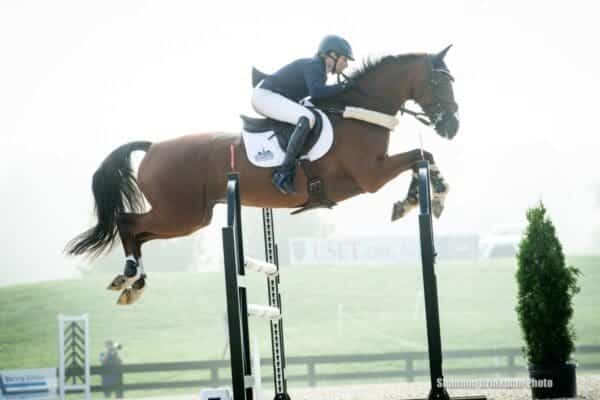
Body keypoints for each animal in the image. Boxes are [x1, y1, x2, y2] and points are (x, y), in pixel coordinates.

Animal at [65, 45, 460, 304]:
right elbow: (419, 156)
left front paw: (424, 197)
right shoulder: (371, 177)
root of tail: (153, 147)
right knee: (127, 222)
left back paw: (134, 282)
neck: (358, 111)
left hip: (187, 217)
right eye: (438, 84)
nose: (452, 127)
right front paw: (417, 200)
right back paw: (129, 275)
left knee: (139, 231)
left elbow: (424, 157)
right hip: (181, 215)